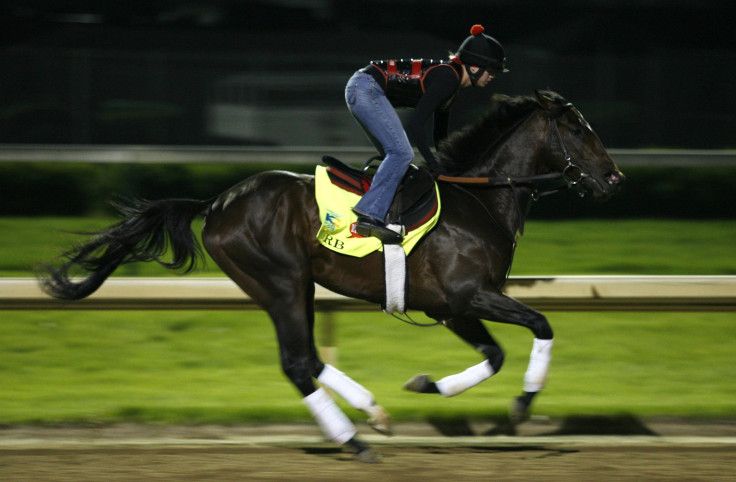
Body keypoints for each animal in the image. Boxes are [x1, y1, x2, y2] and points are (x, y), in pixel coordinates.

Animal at [40, 88, 624, 462]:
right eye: (578, 128)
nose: (615, 178)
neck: (480, 200)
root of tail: (216, 203)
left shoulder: (450, 306)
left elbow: (495, 355)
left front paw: (428, 383)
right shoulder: (469, 295)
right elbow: (542, 326)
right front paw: (523, 404)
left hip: (290, 286)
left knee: (309, 358)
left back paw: (373, 414)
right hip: (280, 280)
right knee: (298, 363)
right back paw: (354, 440)